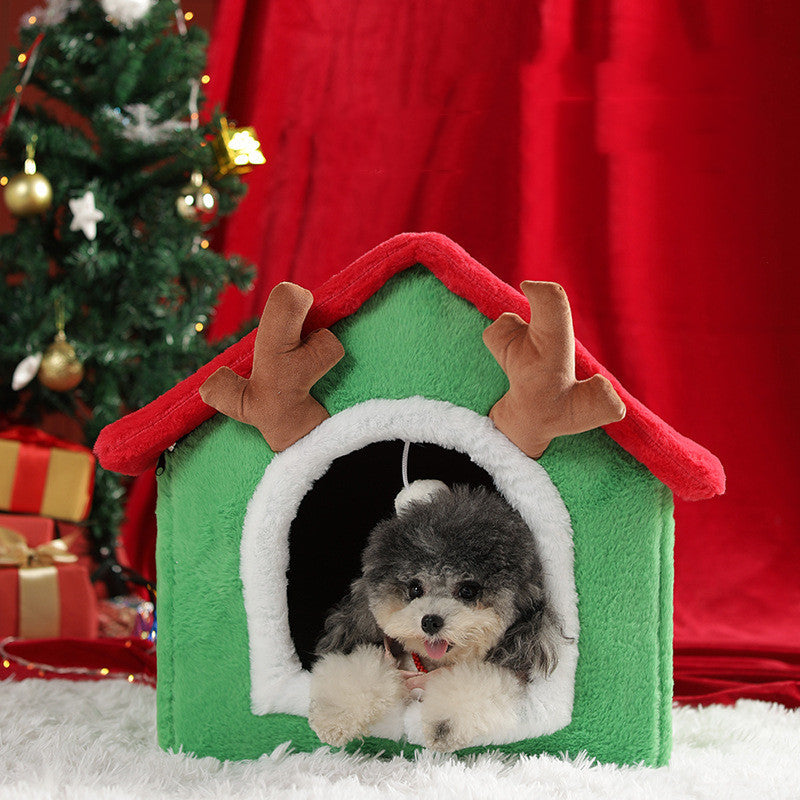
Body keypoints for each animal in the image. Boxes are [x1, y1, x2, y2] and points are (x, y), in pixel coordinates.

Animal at [308, 482, 564, 752]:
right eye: (415, 588)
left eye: (468, 590)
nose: (430, 621)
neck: (432, 666)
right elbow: (361, 670)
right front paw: (333, 718)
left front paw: (443, 726)